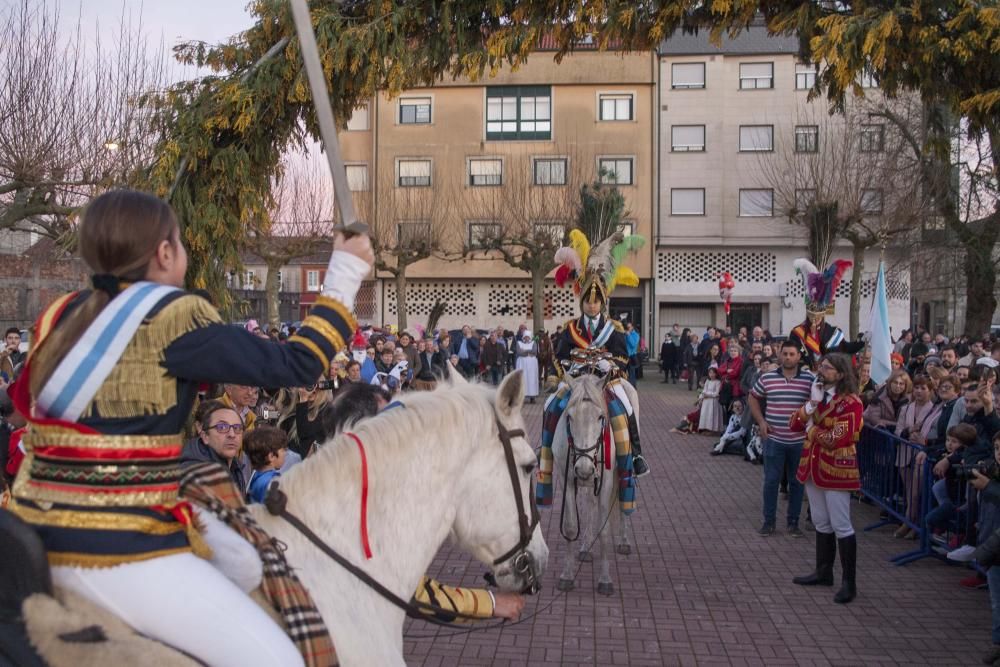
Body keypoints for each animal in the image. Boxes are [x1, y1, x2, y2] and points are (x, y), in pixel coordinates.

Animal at [552, 374, 636, 596]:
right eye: (570, 417)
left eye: (600, 417)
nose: (584, 468)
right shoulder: (567, 480)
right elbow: (571, 526)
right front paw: (566, 576)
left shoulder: (605, 482)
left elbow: (604, 530)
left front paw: (605, 580)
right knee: (589, 504)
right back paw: (585, 548)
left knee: (624, 501)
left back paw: (624, 542)